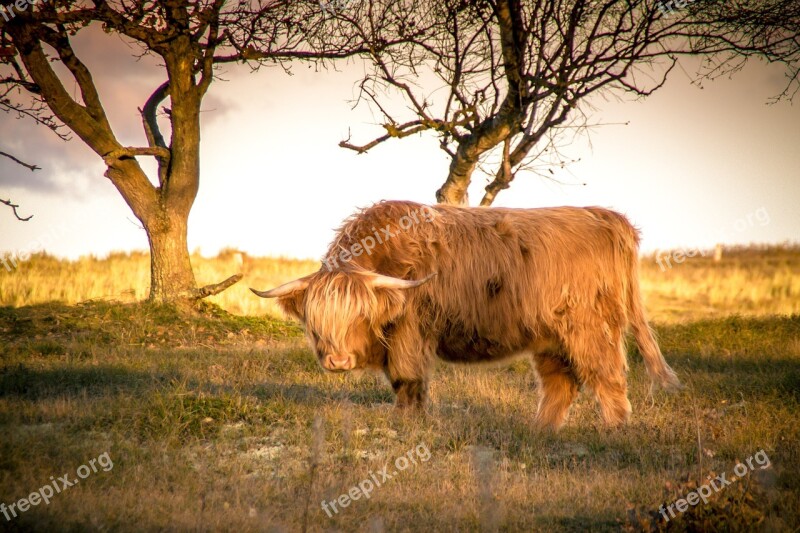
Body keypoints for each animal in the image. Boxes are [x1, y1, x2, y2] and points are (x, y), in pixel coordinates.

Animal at [252, 200, 680, 428]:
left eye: (359, 316)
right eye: (316, 322)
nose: (338, 361)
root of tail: (603, 215)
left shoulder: (410, 331)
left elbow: (406, 378)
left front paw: (406, 421)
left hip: (588, 327)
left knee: (607, 376)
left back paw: (614, 429)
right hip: (551, 336)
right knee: (560, 383)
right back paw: (541, 430)